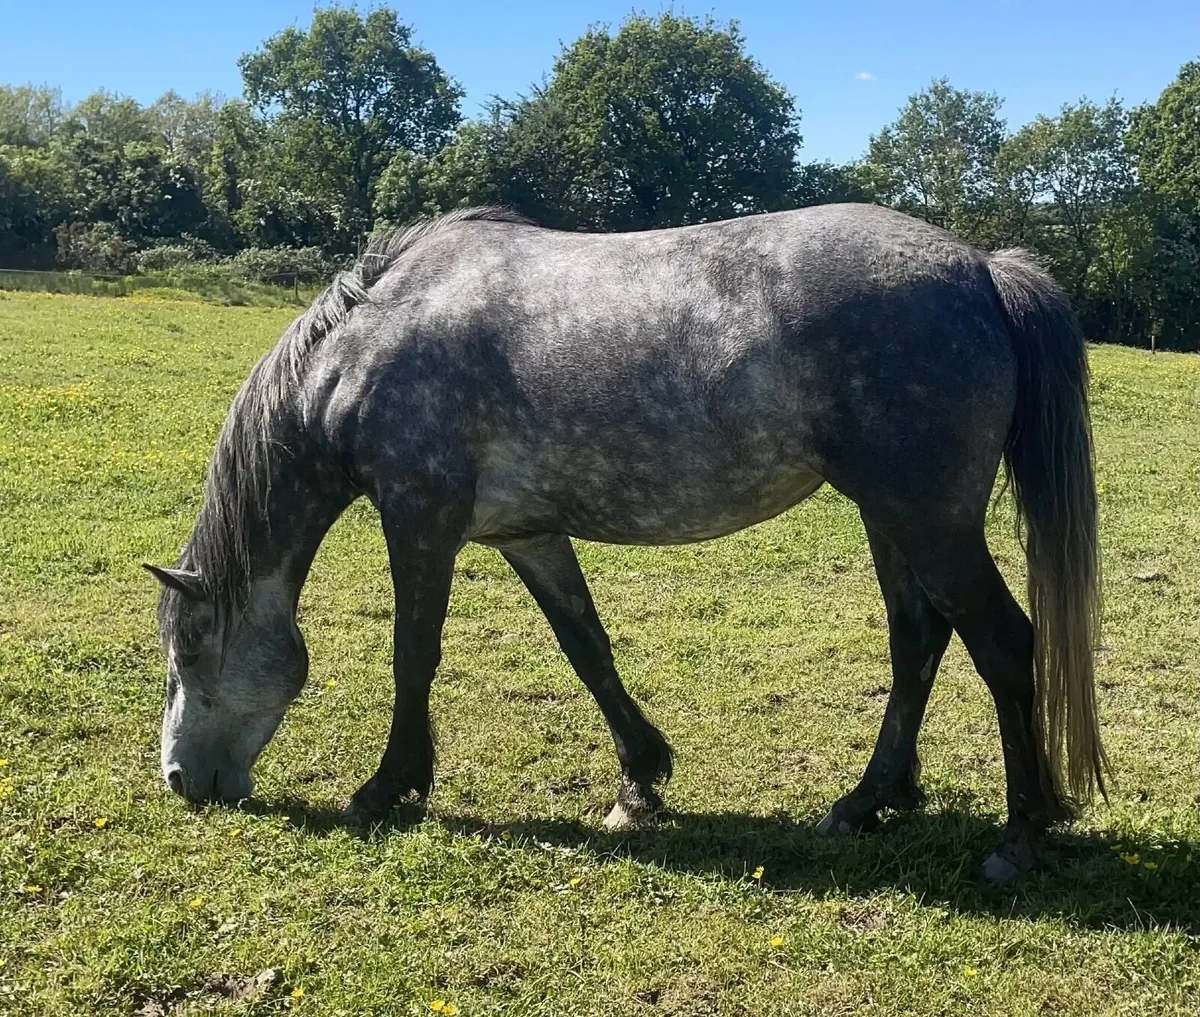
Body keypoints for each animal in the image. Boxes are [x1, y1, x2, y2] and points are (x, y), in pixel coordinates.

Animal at [146, 203, 1106, 883]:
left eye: (187, 649)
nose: (180, 781)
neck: (373, 341)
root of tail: (980, 269)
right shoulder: (528, 532)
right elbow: (586, 645)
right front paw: (640, 777)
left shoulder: (420, 516)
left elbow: (412, 654)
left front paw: (388, 787)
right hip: (892, 517)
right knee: (918, 640)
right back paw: (869, 800)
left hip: (929, 519)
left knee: (1004, 644)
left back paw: (1017, 837)